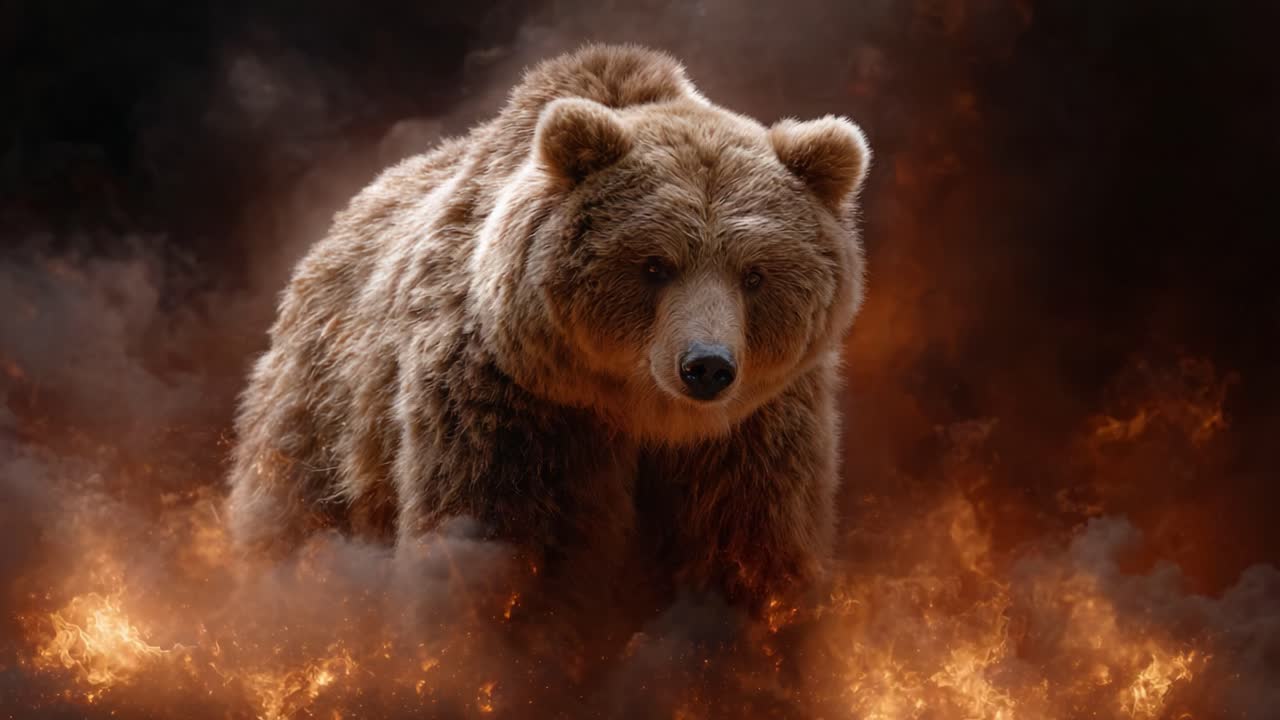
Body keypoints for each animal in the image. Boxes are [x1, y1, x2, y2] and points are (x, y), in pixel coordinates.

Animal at [227, 43, 871, 651]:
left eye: (754, 274)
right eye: (655, 265)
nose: (707, 367)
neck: (644, 414)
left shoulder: (759, 429)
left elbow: (749, 549)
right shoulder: (509, 405)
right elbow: (506, 549)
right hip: (323, 415)